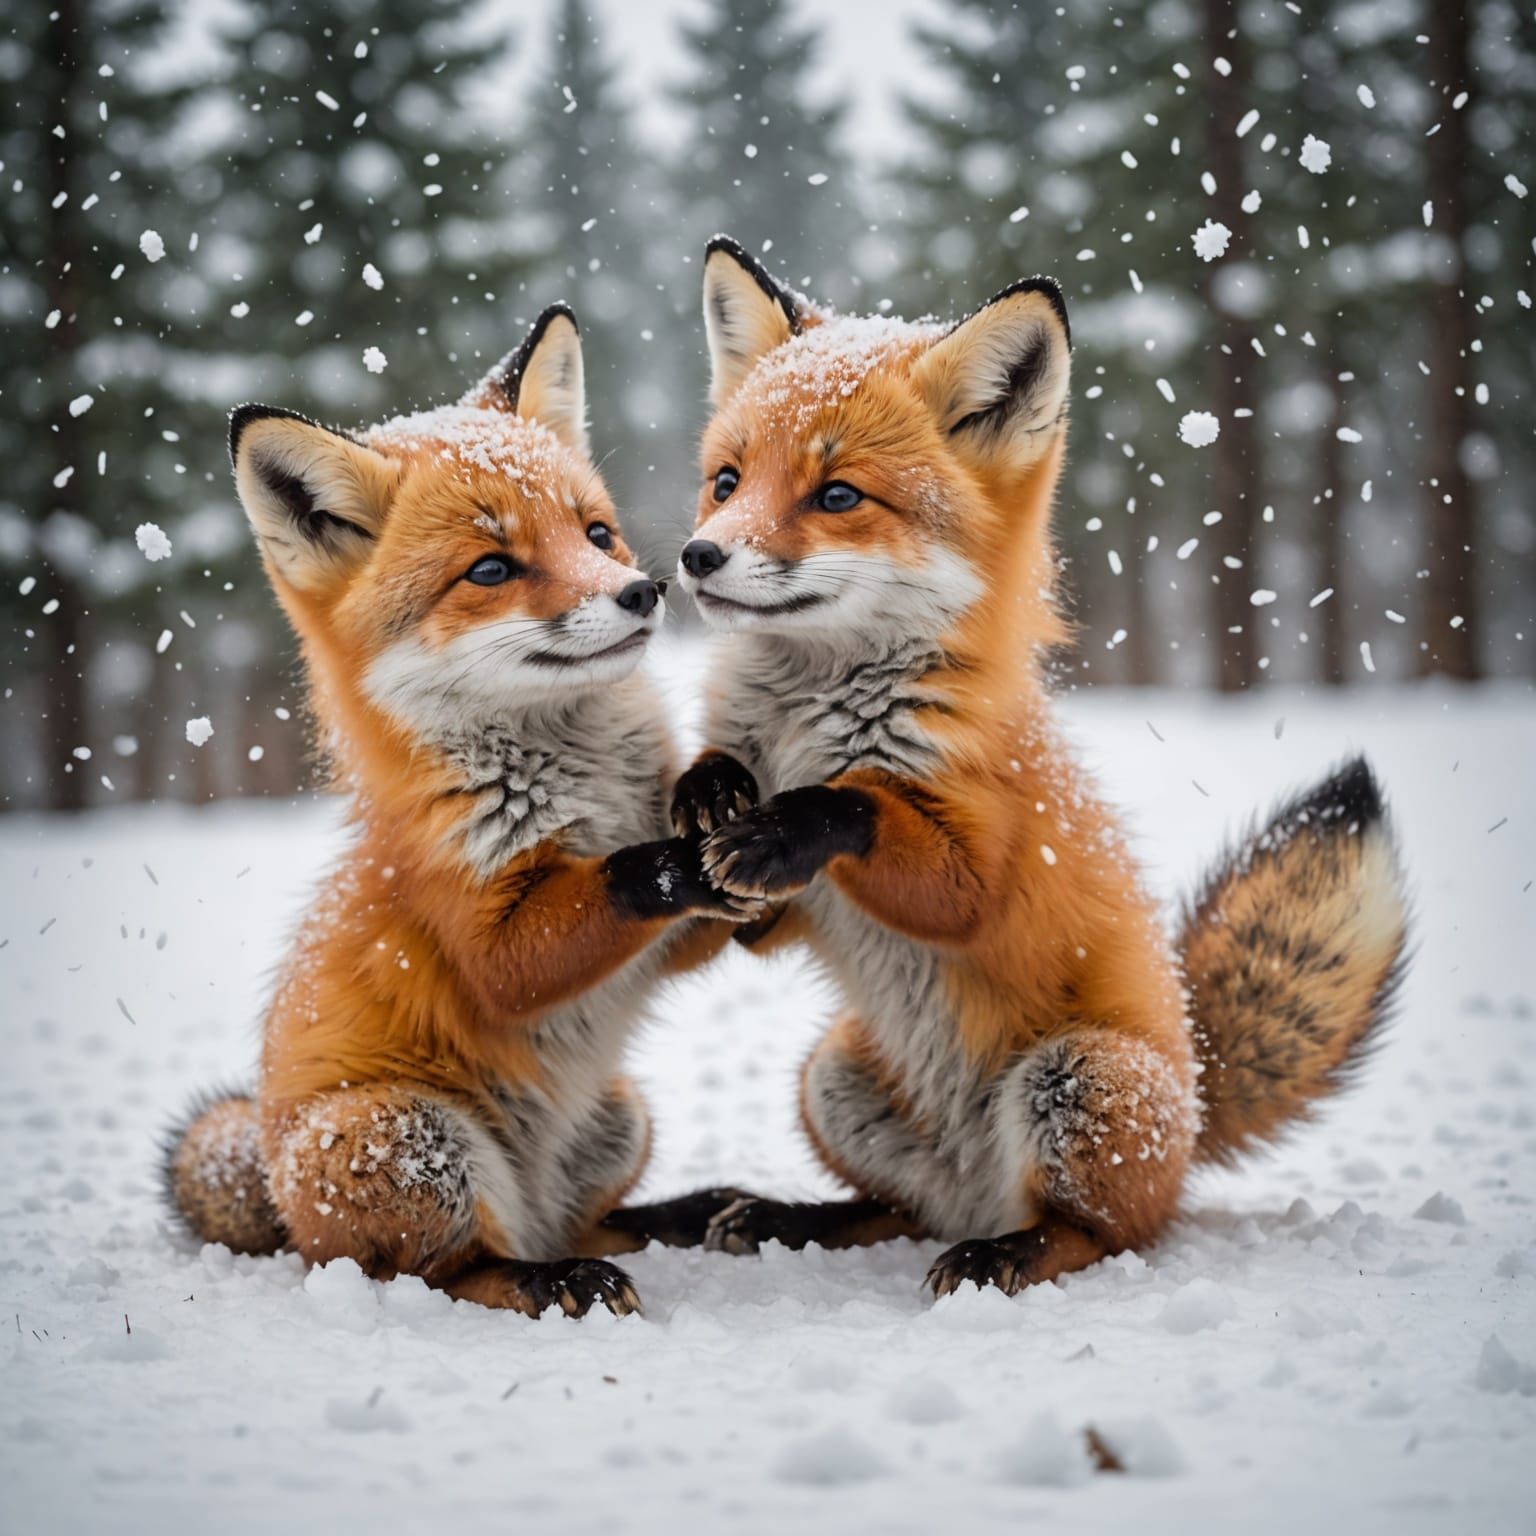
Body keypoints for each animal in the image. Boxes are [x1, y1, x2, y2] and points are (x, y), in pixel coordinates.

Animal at [162, 304, 768, 1318]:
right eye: (490, 568)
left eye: (595, 533)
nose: (643, 590)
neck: (581, 785)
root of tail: (284, 1211)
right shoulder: (479, 921)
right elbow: (567, 923)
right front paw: (677, 858)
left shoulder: (659, 947)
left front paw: (715, 798)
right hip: (408, 1139)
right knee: (449, 1271)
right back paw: (555, 1278)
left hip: (619, 1116)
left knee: (587, 1219)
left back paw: (690, 1215)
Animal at [673, 236, 1410, 1298]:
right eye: (726, 481)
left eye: (838, 495)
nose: (697, 556)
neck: (814, 715)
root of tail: (1194, 1087)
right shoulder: (781, 910)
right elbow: (738, 850)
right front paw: (709, 789)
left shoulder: (984, 857)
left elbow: (870, 815)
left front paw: (790, 821)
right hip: (833, 1077)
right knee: (894, 1211)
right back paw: (791, 1216)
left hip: (1081, 1079)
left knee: (1099, 1232)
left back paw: (1003, 1254)